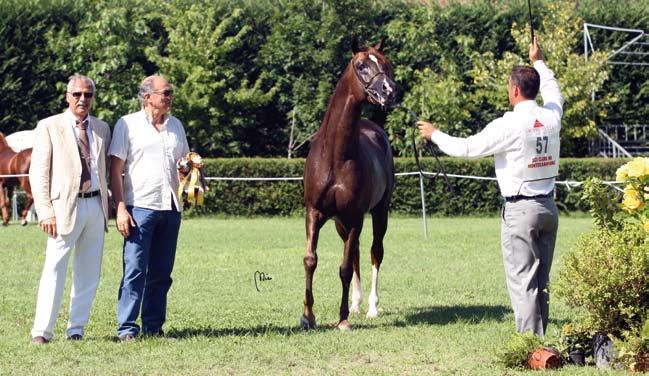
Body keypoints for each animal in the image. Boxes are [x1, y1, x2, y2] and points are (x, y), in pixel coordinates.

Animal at [302, 38, 394, 330]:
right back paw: (355, 303)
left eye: (387, 63)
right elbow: (311, 260)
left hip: (378, 213)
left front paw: (342, 319)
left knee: (375, 252)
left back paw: (370, 307)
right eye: (361, 65)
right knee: (355, 254)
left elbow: (343, 268)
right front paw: (308, 316)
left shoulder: (356, 216)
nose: (389, 90)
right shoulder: (314, 213)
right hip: (341, 223)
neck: (335, 155)